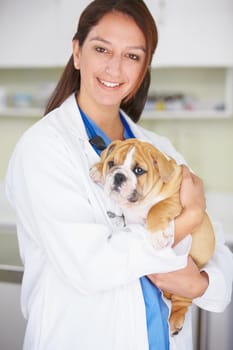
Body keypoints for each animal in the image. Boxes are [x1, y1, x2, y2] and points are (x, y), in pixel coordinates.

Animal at [89, 138, 215, 334]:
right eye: (112, 163)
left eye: (139, 170)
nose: (119, 176)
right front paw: (98, 168)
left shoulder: (175, 199)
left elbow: (156, 209)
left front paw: (157, 236)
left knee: (184, 300)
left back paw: (176, 319)